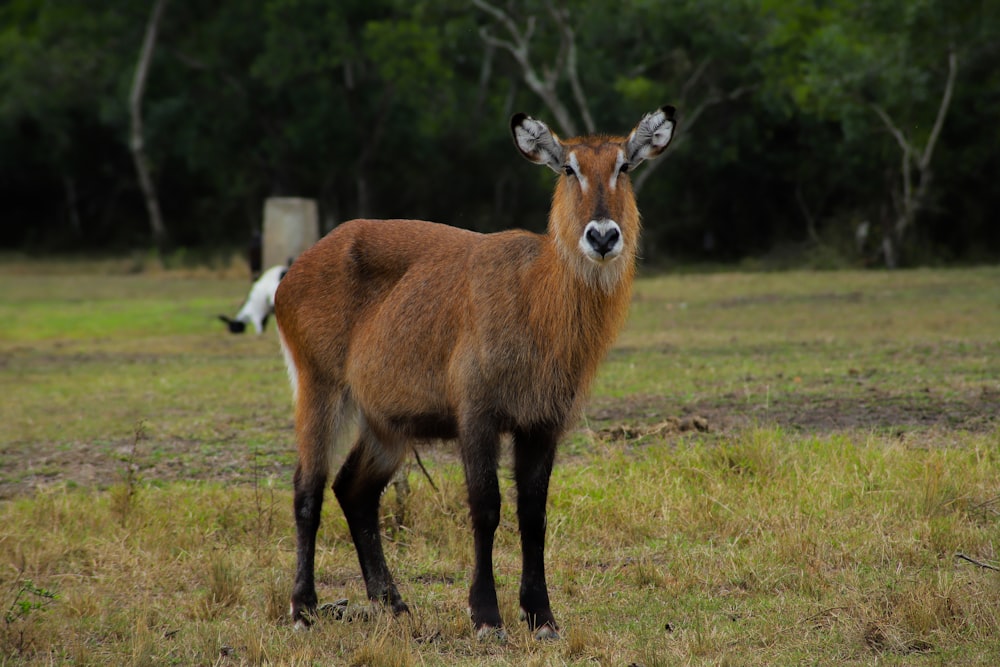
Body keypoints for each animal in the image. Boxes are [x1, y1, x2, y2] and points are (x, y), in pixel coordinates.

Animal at [276, 105, 672, 640]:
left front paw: (541, 616)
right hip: (320, 388)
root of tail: (293, 272)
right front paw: (487, 616)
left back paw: (393, 603)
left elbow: (533, 515)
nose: (603, 236)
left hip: (387, 422)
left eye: (624, 166)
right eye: (569, 169)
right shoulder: (477, 416)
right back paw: (304, 608)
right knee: (308, 489)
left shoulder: (543, 424)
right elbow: (486, 509)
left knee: (354, 490)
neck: (537, 297)